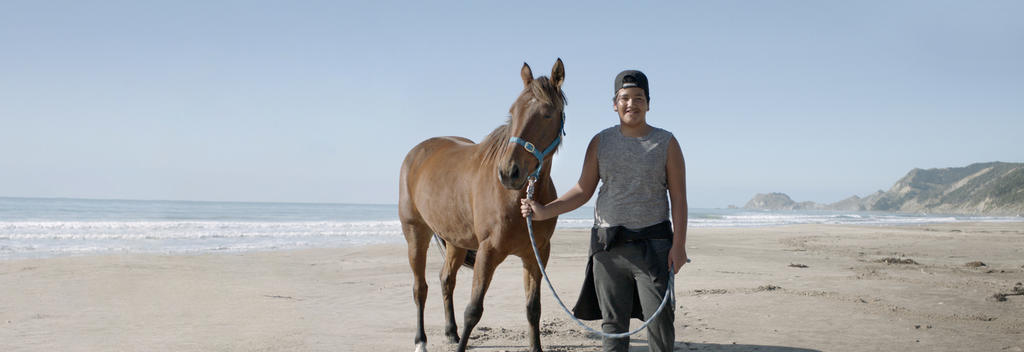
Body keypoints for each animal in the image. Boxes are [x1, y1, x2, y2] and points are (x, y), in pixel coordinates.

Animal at [397, 59, 569, 349]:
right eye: (513, 112)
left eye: (547, 114)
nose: (509, 172)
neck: (517, 198)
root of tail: (416, 153)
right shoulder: (488, 252)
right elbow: (473, 310)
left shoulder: (536, 254)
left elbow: (533, 309)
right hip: (415, 233)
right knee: (420, 288)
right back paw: (421, 340)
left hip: (455, 241)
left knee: (446, 280)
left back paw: (451, 332)